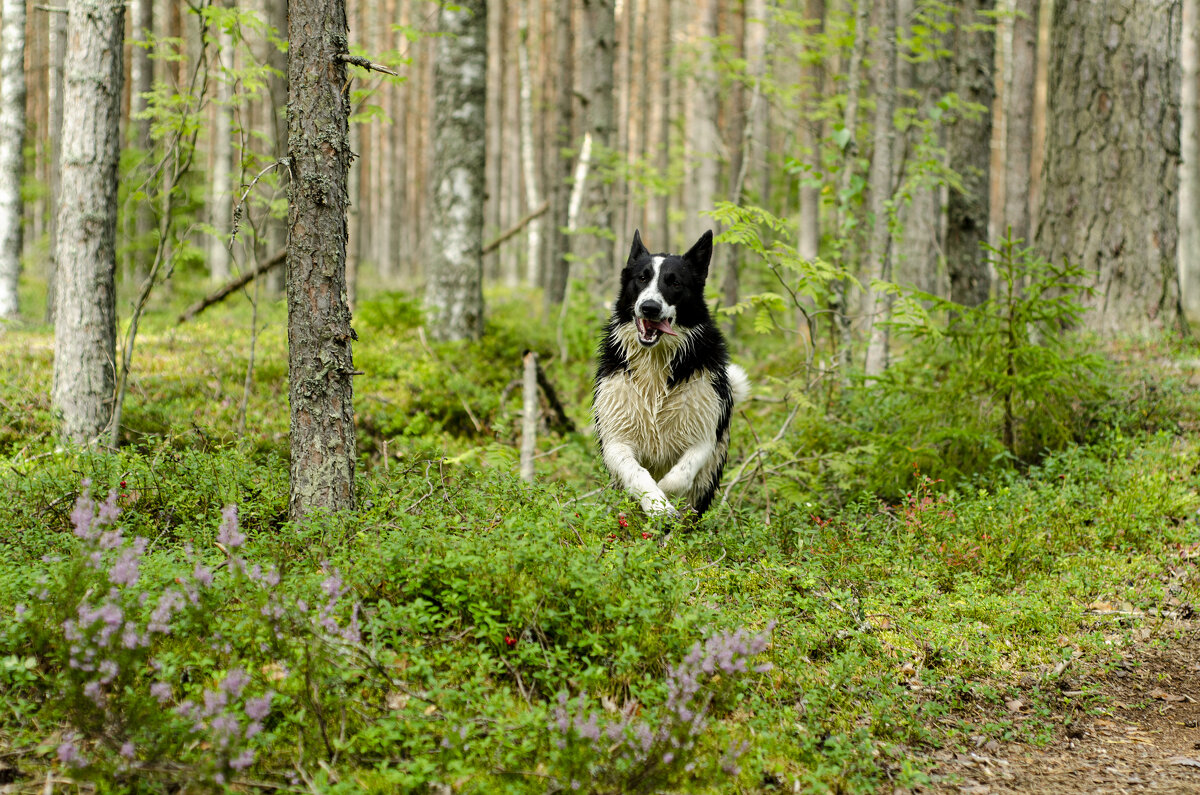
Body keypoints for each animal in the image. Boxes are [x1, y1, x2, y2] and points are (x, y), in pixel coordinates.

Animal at [592, 230, 748, 516]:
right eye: (642, 278)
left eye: (674, 283)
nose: (650, 307)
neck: (655, 361)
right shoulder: (616, 438)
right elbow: (637, 473)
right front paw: (657, 505)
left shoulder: (703, 436)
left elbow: (680, 476)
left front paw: (664, 496)